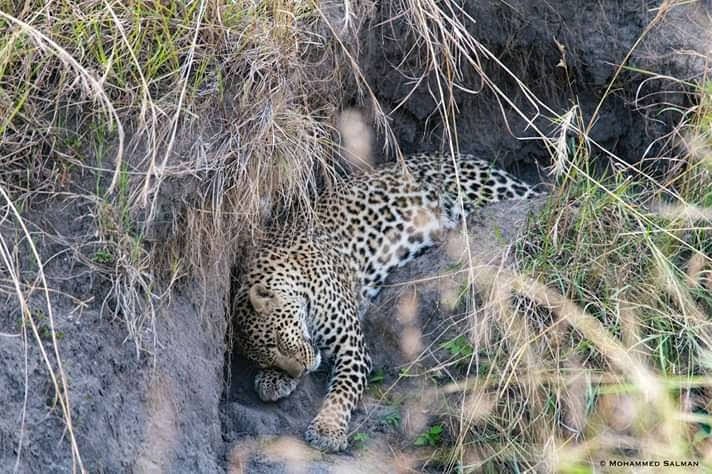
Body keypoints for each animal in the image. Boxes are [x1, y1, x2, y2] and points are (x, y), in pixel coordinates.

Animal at [233, 152, 543, 452]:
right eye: (266, 357)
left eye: (279, 341)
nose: (302, 371)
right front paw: (273, 379)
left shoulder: (353, 349)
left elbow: (342, 392)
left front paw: (327, 430)